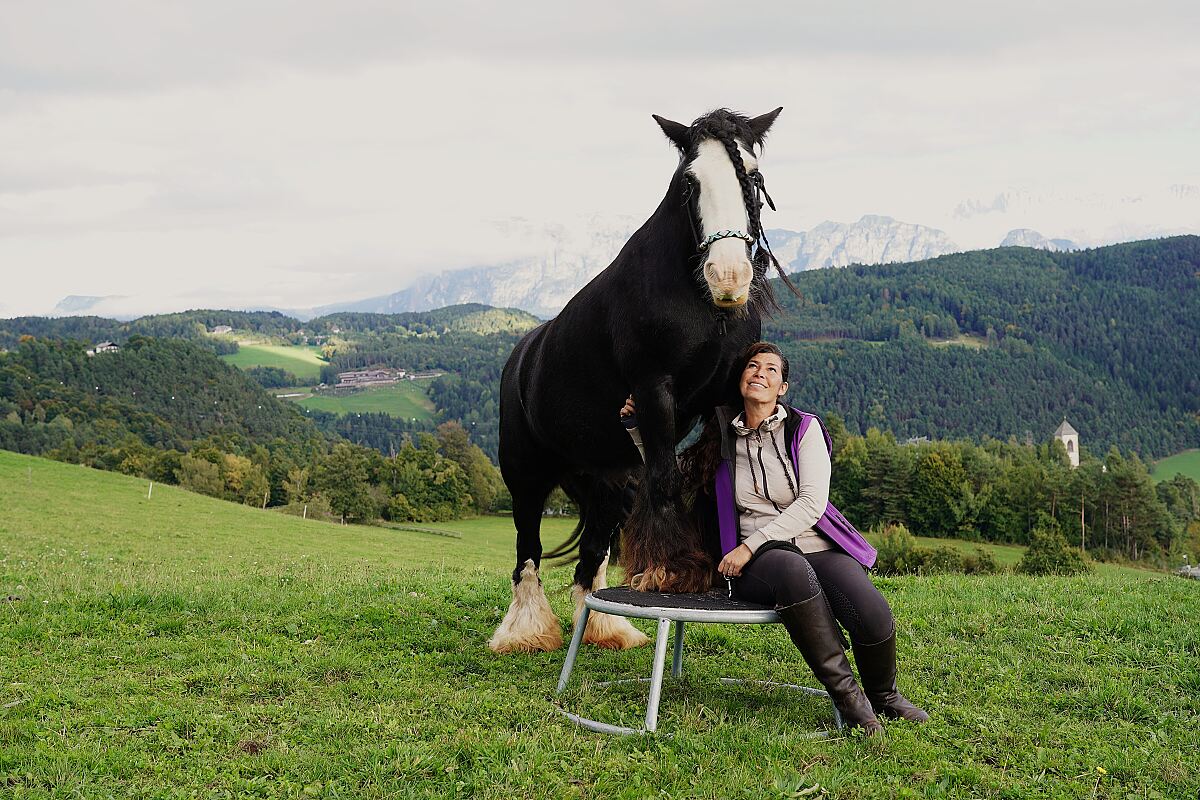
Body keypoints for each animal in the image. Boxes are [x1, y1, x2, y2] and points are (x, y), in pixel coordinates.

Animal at [487, 107, 787, 652]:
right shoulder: (653, 391)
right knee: (527, 551)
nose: (728, 276)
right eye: (690, 182)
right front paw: (670, 572)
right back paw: (525, 631)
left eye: (753, 177)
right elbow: (666, 477)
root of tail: (522, 355)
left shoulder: (723, 398)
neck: (700, 305)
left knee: (591, 556)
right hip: (525, 474)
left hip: (606, 478)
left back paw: (603, 628)